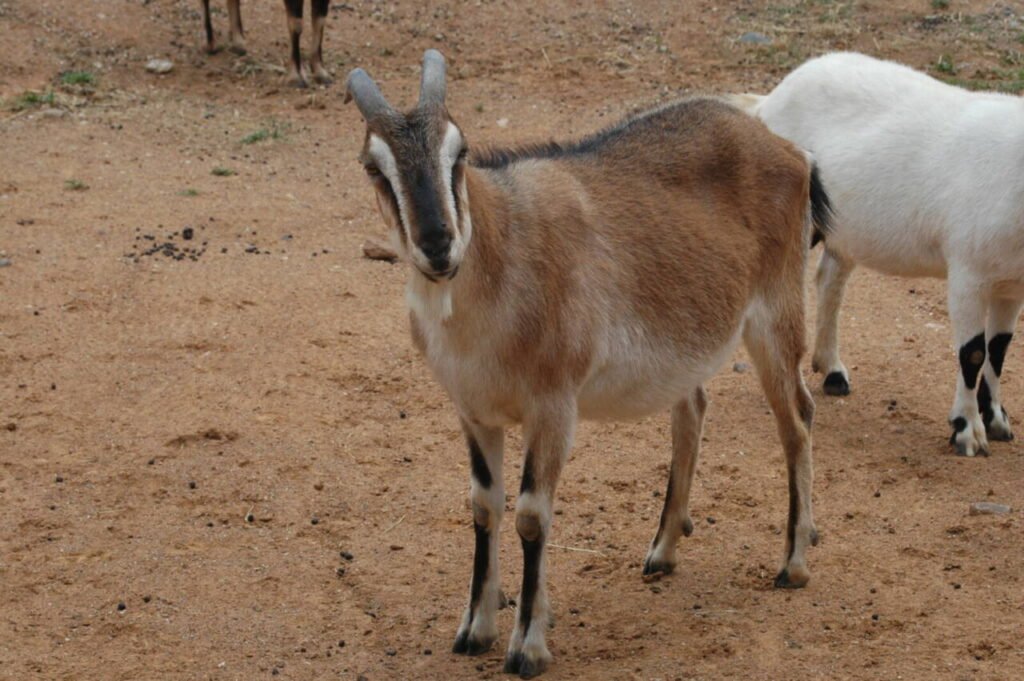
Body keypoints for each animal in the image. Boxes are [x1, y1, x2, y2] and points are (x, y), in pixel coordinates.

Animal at [200, 0, 331, 87]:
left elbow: (319, 22)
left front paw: (320, 72)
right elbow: (297, 25)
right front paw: (295, 77)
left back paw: (238, 43)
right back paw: (211, 44)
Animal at [347, 50, 831, 678]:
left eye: (460, 151)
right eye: (374, 168)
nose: (437, 244)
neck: (499, 264)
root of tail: (790, 151)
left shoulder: (553, 406)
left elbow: (531, 514)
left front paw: (527, 646)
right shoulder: (474, 412)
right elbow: (483, 505)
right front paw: (475, 630)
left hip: (775, 314)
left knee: (797, 419)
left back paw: (793, 562)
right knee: (693, 409)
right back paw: (663, 551)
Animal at [735, 52, 1024, 457]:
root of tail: (767, 102)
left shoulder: (1010, 284)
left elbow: (998, 351)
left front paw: (997, 420)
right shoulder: (969, 275)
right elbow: (973, 354)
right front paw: (967, 432)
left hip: (842, 228)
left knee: (830, 280)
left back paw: (832, 371)